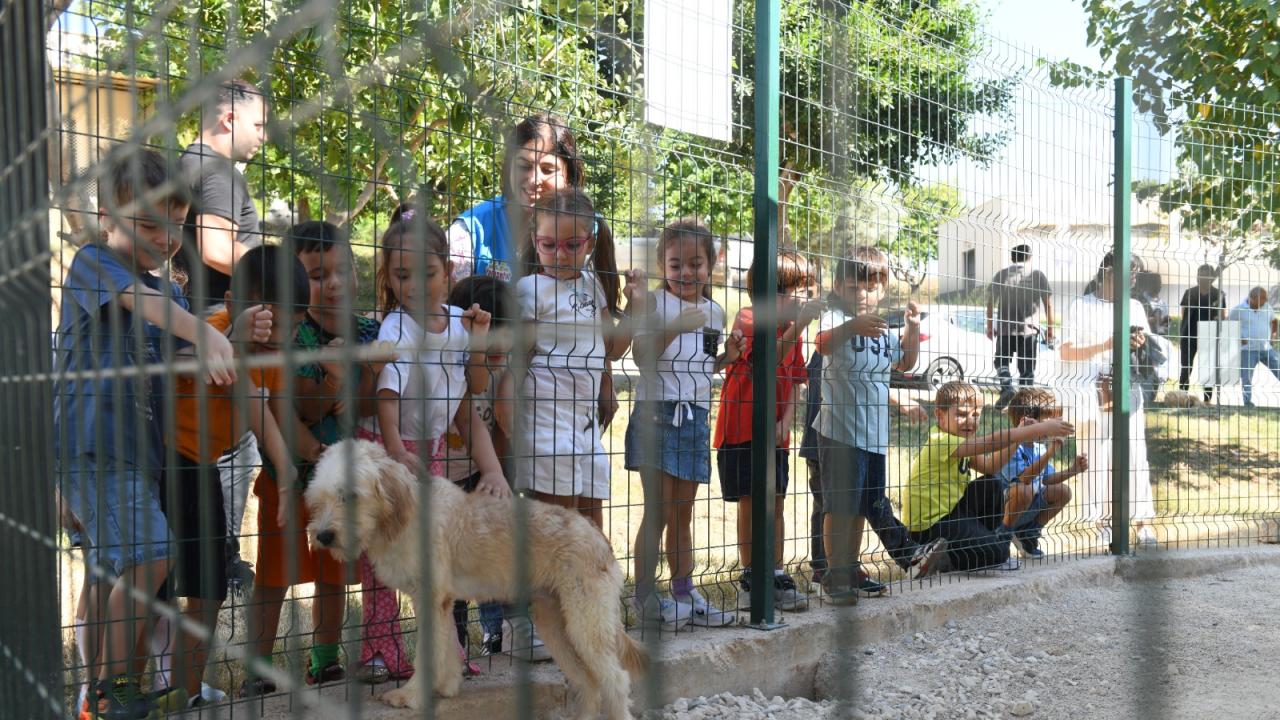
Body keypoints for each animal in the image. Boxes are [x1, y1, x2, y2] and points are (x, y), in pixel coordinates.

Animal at [304, 438, 645, 717]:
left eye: (350, 496)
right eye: (319, 499)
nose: (323, 536)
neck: (405, 514)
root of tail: (599, 538)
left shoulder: (431, 599)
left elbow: (429, 654)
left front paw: (411, 696)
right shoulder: (439, 602)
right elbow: (447, 648)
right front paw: (446, 686)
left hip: (585, 626)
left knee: (616, 680)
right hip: (556, 625)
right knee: (588, 681)